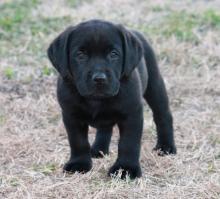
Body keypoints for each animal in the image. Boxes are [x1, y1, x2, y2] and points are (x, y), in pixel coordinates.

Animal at [47, 19, 176, 179]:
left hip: (155, 84)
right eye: (80, 55)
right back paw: (99, 149)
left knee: (163, 115)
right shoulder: (71, 115)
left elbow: (128, 143)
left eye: (114, 54)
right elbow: (78, 141)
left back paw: (166, 147)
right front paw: (79, 163)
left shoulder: (132, 115)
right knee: (105, 128)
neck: (95, 100)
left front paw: (126, 169)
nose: (99, 78)